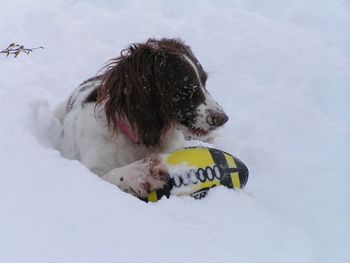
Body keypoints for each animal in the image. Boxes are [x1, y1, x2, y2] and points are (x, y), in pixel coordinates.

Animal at [56, 38, 228, 200]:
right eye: (185, 87)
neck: (140, 138)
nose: (223, 119)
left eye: (204, 82)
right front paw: (141, 173)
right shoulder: (90, 166)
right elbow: (109, 175)